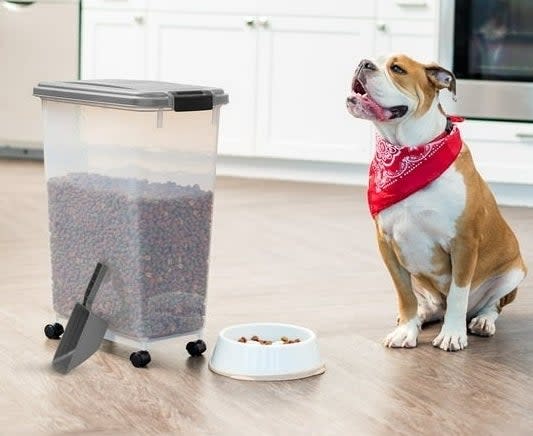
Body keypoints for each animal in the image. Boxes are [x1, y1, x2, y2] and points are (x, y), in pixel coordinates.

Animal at [344, 53, 524, 350]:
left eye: (397, 69)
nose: (363, 63)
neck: (407, 149)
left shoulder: (464, 243)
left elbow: (458, 294)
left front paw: (452, 334)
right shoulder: (387, 245)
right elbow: (404, 295)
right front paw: (406, 329)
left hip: (514, 272)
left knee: (492, 305)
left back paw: (482, 322)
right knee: (429, 305)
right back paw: (421, 316)